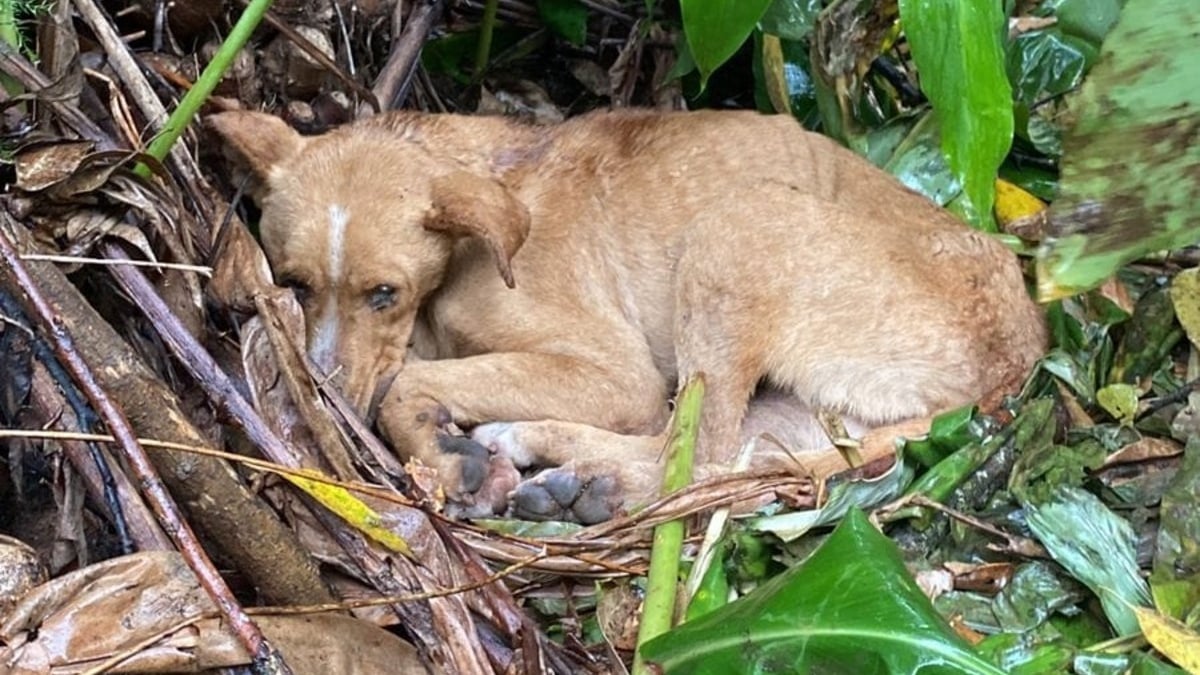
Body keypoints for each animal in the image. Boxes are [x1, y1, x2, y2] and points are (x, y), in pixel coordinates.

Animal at [211, 109, 1046, 521]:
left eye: (383, 291)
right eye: (294, 283)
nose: (320, 399)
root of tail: (1021, 354)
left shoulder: (617, 373)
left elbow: (404, 388)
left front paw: (450, 458)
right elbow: (409, 374)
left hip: (738, 227)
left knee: (696, 457)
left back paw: (552, 458)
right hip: (804, 415)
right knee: (724, 459)